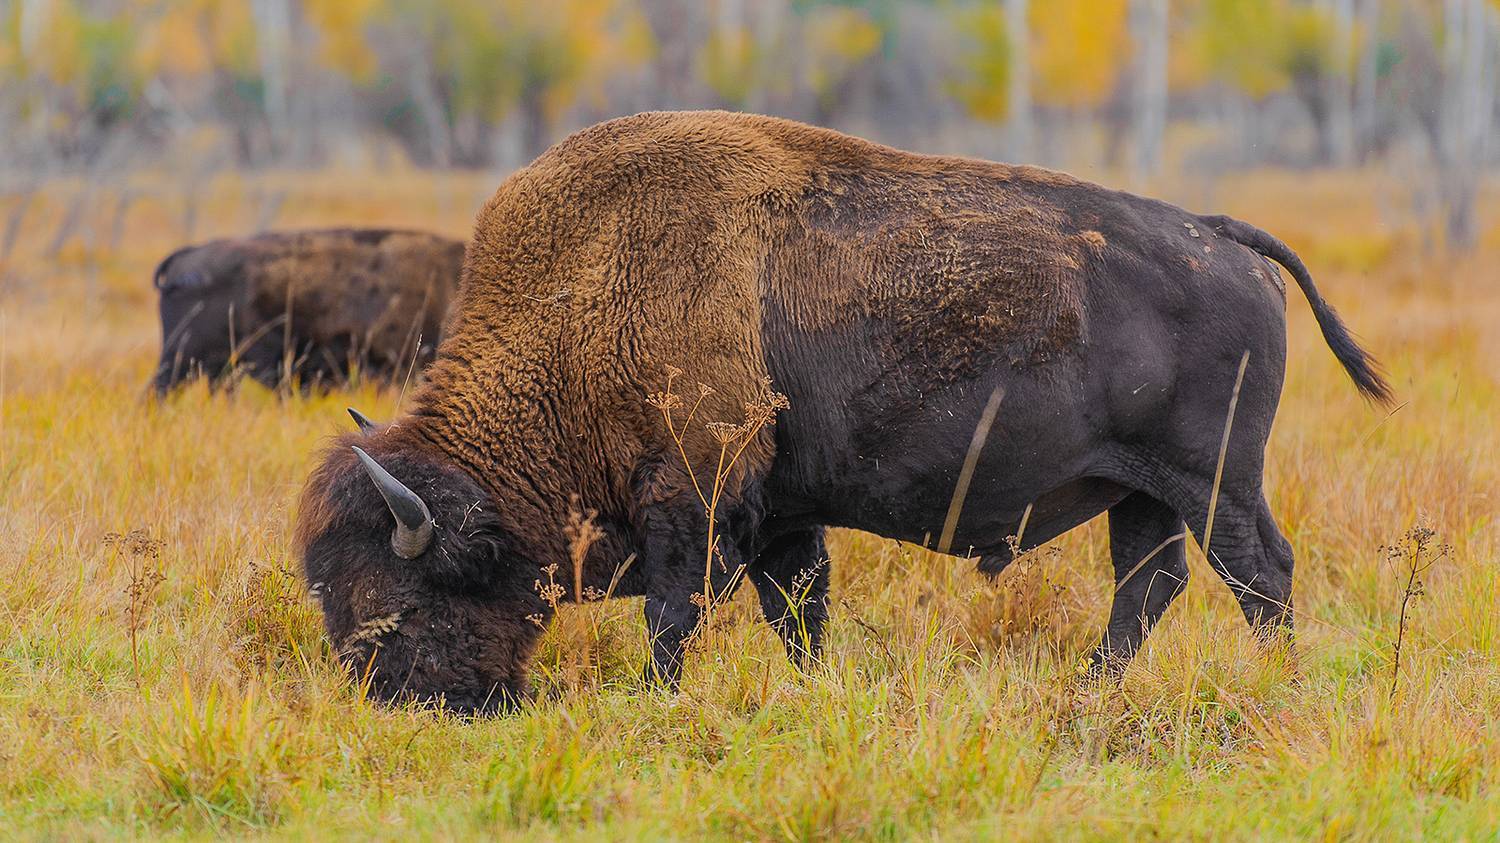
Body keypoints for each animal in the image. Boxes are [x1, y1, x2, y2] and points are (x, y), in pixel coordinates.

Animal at [292, 108, 1392, 705]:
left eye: (400, 603)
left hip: (1215, 481)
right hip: (1142, 492)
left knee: (1258, 574)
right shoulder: (780, 513)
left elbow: (675, 615)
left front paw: (658, 699)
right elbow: (798, 610)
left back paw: (1273, 680)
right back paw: (1089, 687)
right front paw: (813, 690)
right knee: (1149, 586)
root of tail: (1218, 234)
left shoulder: (692, 499)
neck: (581, 300)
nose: (399, 706)